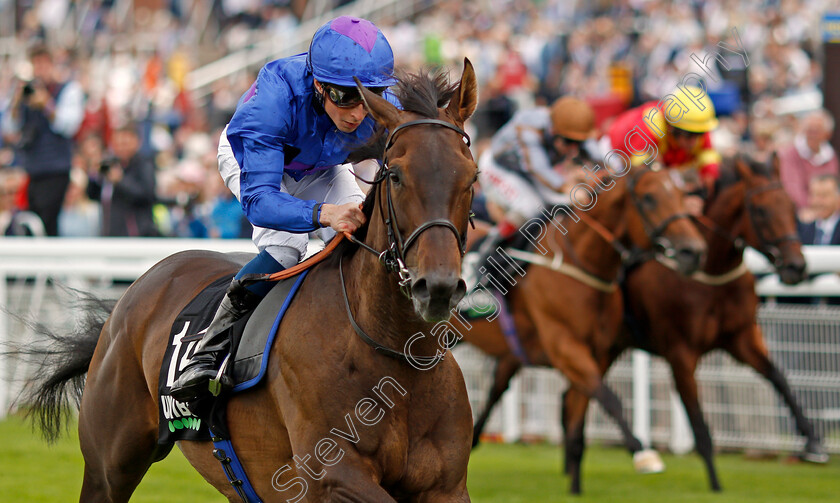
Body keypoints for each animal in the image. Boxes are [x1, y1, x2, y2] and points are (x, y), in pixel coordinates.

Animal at [24, 61, 480, 502]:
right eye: (396, 175)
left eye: (472, 176)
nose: (436, 287)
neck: (393, 351)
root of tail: (135, 291)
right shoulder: (332, 474)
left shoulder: (446, 486)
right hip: (109, 466)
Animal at [462, 163, 704, 494]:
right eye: (650, 198)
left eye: (681, 194)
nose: (692, 252)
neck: (580, 265)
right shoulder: (567, 348)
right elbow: (610, 399)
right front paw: (644, 454)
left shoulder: (598, 352)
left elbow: (581, 414)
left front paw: (575, 487)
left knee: (498, 386)